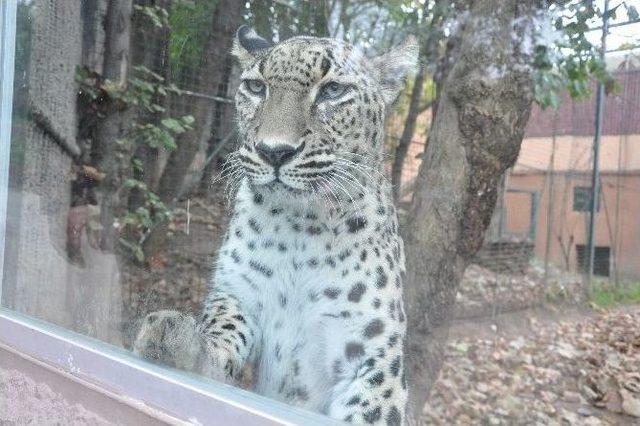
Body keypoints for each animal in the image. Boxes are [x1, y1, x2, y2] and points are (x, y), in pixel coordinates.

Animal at [132, 26, 418, 426]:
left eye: (333, 90)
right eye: (256, 87)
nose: (274, 151)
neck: (303, 226)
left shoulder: (372, 354)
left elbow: (370, 408)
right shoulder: (236, 294)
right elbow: (222, 334)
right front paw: (179, 343)